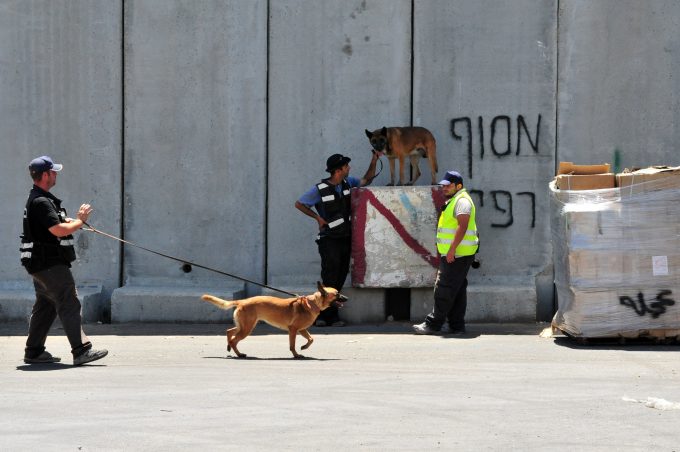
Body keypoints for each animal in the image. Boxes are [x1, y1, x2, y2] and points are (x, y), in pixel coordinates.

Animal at [198, 280, 346, 358]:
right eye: (337, 294)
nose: (347, 298)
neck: (313, 302)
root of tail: (242, 301)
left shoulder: (302, 329)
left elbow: (311, 339)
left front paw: (303, 347)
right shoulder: (293, 330)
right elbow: (292, 345)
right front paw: (296, 355)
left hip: (244, 326)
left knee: (229, 332)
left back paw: (230, 348)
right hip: (247, 328)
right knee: (234, 339)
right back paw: (239, 354)